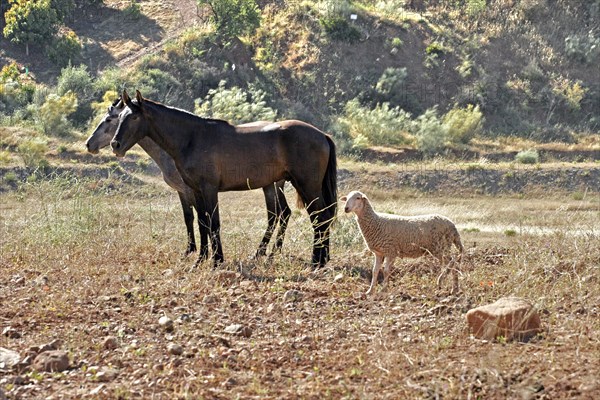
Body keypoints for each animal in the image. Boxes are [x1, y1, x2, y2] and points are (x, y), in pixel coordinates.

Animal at [111, 90, 338, 268]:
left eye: (134, 118)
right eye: (120, 117)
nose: (115, 145)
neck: (192, 138)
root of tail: (322, 135)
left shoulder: (209, 189)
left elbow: (214, 223)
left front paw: (217, 261)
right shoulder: (196, 191)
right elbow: (202, 222)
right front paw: (200, 260)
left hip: (306, 185)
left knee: (320, 218)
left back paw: (316, 261)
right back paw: (321, 260)